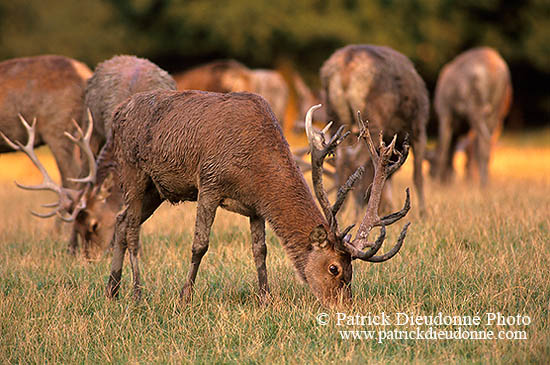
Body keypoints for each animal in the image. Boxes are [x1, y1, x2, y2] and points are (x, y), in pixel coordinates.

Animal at [104, 89, 414, 304]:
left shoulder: (255, 207)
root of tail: (116, 114)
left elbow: (260, 251)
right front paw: (185, 297)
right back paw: (137, 293)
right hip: (132, 170)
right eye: (334, 269)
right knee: (132, 231)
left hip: (156, 190)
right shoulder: (209, 182)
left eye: (351, 272)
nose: (345, 307)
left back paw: (111, 289)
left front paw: (266, 298)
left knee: (121, 220)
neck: (254, 168)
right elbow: (200, 244)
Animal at [320, 43, 432, 213]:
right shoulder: (419, 126)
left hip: (335, 116)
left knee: (342, 161)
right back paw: (356, 209)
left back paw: (342, 208)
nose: (386, 208)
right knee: (356, 161)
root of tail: (346, 65)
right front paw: (423, 213)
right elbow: (418, 175)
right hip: (372, 116)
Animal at [432, 47, 512, 185]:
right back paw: (484, 182)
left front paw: (441, 181)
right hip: (495, 109)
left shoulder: (444, 112)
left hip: (474, 107)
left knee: (480, 142)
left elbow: (444, 145)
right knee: (486, 143)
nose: (431, 176)